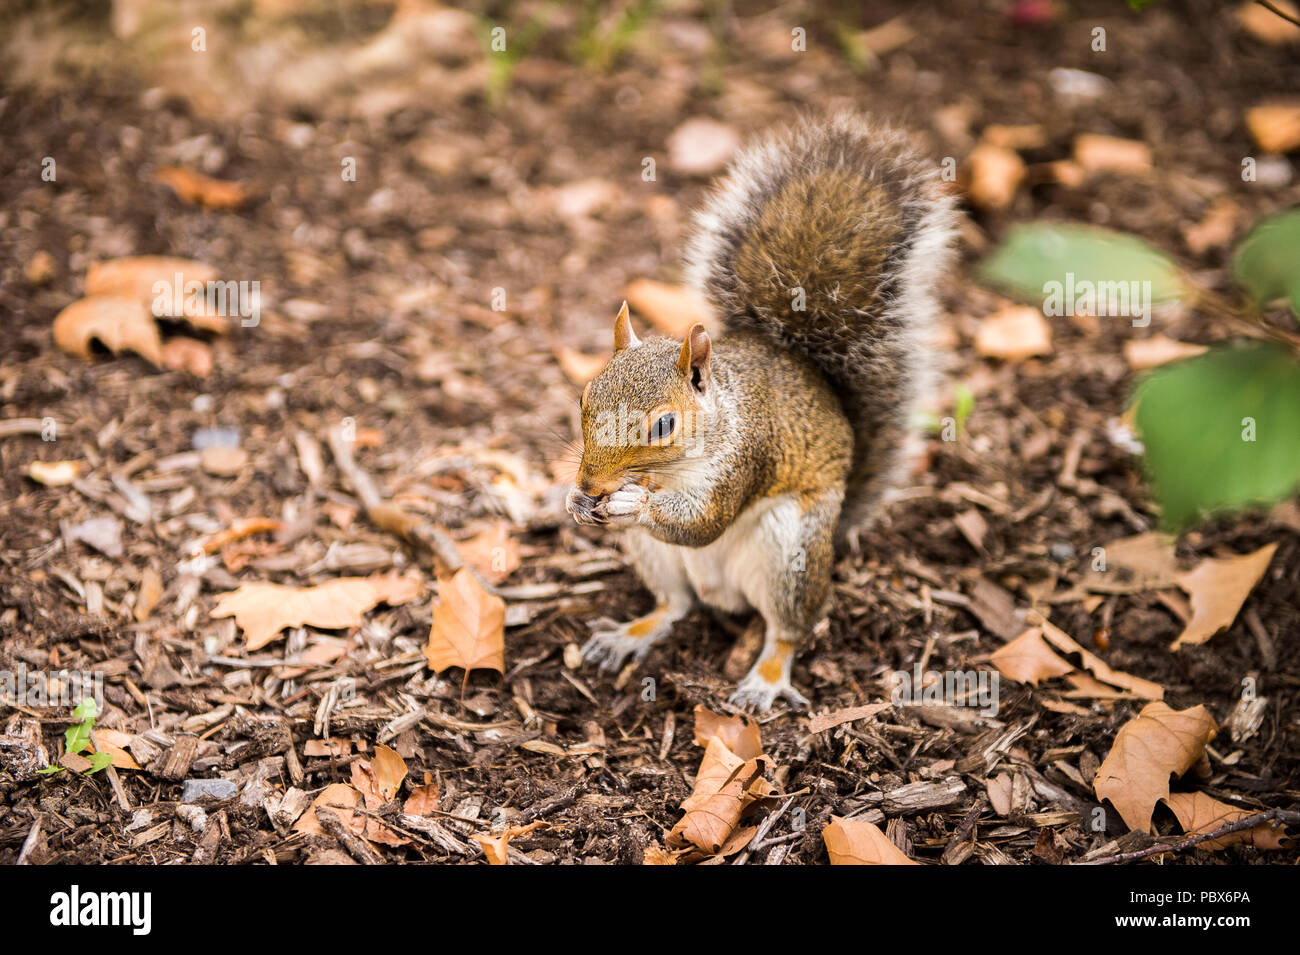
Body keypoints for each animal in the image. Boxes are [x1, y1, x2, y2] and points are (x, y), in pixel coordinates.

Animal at [565, 113, 956, 711]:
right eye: (584, 400)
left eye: (664, 425)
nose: (589, 483)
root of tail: (722, 593)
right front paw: (574, 501)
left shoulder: (747, 458)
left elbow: (703, 522)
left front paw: (636, 501)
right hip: (658, 559)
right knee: (675, 605)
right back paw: (630, 634)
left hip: (790, 551)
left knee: (788, 628)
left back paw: (764, 679)